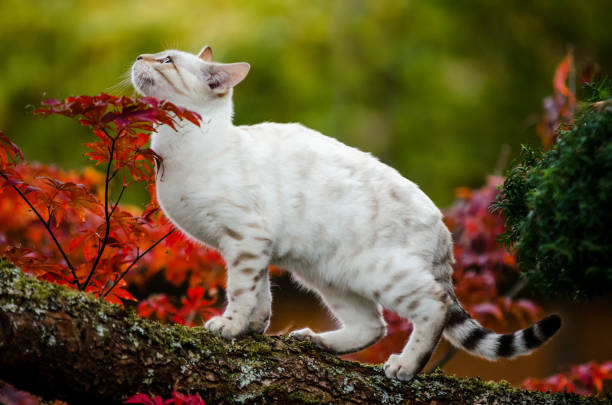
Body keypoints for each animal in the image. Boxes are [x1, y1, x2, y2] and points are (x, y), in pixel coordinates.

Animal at [130, 45, 560, 380]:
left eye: (166, 60)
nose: (138, 57)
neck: (177, 147)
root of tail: (443, 228)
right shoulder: (253, 248)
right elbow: (261, 296)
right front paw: (250, 330)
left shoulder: (245, 238)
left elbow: (240, 291)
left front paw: (230, 326)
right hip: (327, 275)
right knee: (374, 325)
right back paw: (317, 340)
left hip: (382, 273)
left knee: (433, 306)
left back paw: (405, 366)